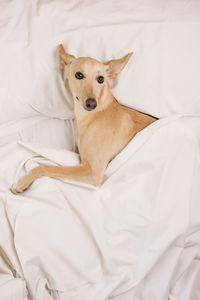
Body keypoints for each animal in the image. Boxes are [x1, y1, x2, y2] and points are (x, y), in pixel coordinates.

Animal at [10, 45, 156, 195]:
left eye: (101, 79)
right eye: (79, 75)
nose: (92, 103)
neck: (96, 114)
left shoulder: (93, 171)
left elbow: (45, 167)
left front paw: (22, 183)